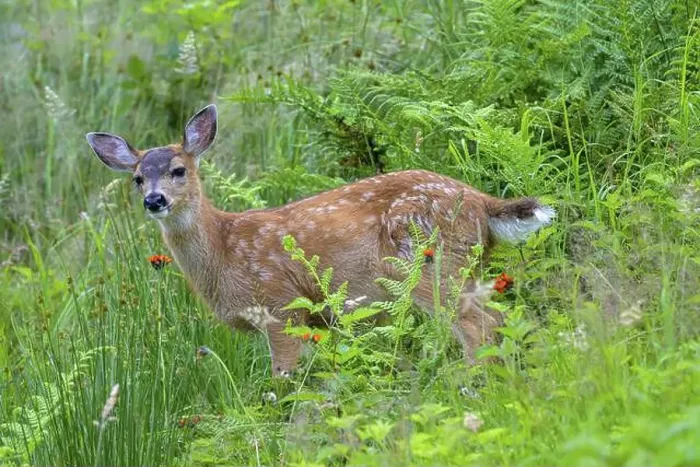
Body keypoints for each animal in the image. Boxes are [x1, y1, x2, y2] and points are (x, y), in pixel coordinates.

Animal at [86, 104, 555, 377]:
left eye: (179, 170)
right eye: (137, 178)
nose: (154, 199)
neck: (225, 250)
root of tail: (481, 202)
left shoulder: (280, 305)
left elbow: (283, 382)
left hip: (427, 259)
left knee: (478, 324)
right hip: (461, 263)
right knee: (500, 317)